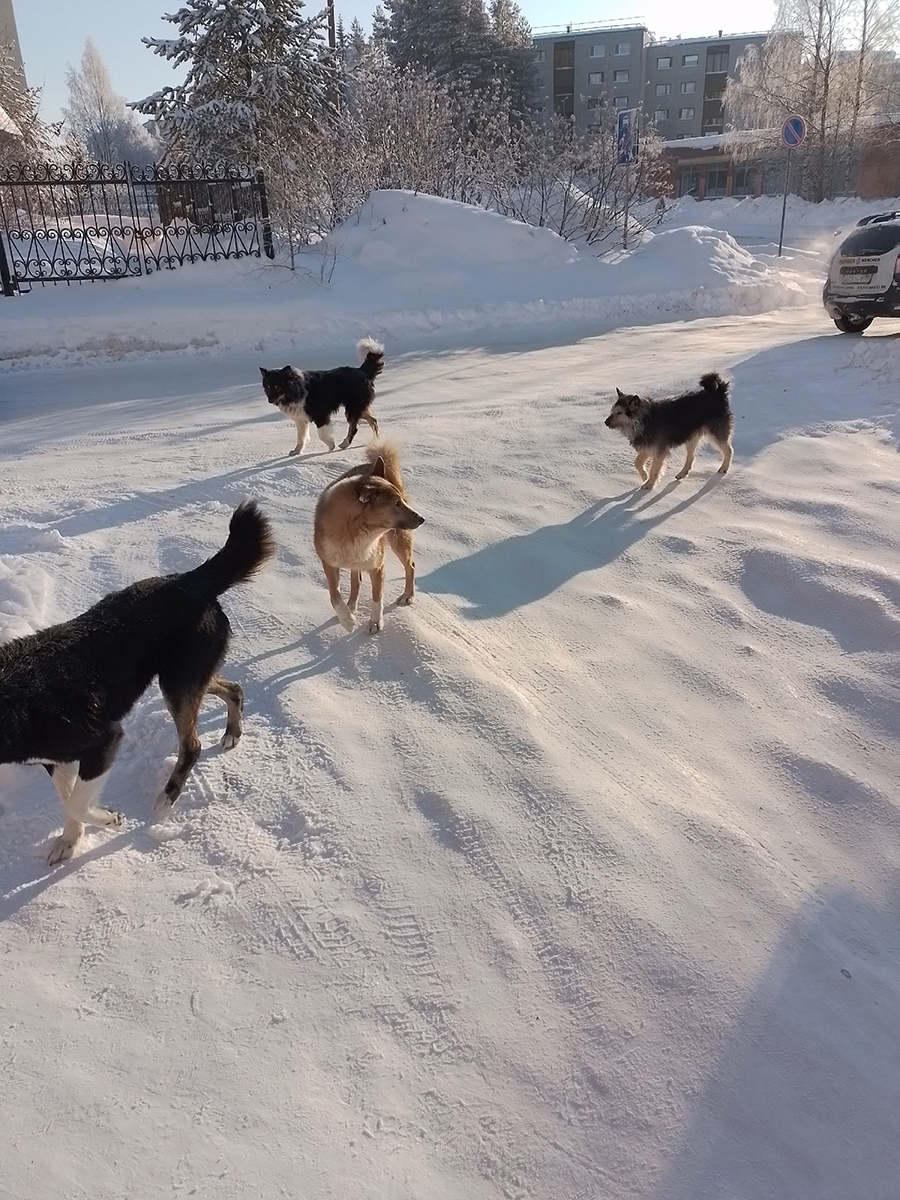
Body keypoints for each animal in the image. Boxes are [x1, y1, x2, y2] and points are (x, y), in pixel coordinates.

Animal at [0, 501, 274, 868]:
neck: (13, 695)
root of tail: (192, 579)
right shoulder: (54, 758)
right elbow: (68, 799)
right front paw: (70, 841)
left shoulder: (104, 740)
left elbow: (77, 802)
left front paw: (110, 820)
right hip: (188, 676)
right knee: (234, 689)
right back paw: (232, 732)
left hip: (178, 682)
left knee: (192, 745)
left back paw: (168, 796)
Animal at [314, 441, 427, 628]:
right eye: (396, 503)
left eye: (400, 501)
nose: (421, 519)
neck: (355, 533)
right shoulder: (329, 562)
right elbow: (334, 595)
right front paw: (347, 621)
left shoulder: (377, 566)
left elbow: (377, 598)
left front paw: (375, 623)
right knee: (356, 580)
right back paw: (351, 606)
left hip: (398, 540)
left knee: (410, 566)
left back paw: (407, 595)